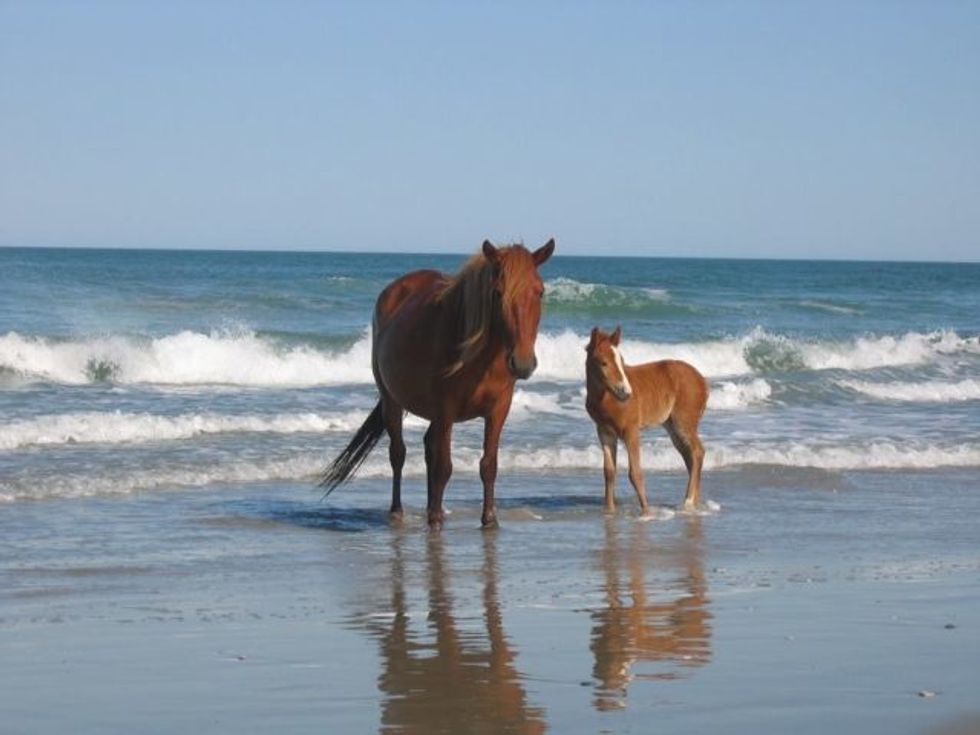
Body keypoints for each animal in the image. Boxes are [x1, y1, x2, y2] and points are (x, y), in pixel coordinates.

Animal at [320, 240, 556, 528]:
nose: (522, 363)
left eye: (540, 292)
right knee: (398, 453)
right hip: (392, 400)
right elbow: (444, 466)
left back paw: (434, 507)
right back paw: (400, 511)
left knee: (429, 447)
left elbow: (488, 464)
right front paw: (435, 520)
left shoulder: (498, 410)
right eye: (497, 293)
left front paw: (489, 519)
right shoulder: (446, 410)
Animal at [584, 324, 708, 516]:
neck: (607, 398)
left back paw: (688, 502)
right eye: (603, 362)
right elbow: (609, 471)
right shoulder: (604, 432)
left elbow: (635, 473)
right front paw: (609, 510)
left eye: (621, 361)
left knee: (697, 452)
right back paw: (695, 502)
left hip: (683, 423)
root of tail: (702, 380)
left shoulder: (631, 431)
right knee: (691, 457)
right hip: (672, 428)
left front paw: (647, 512)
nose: (626, 392)